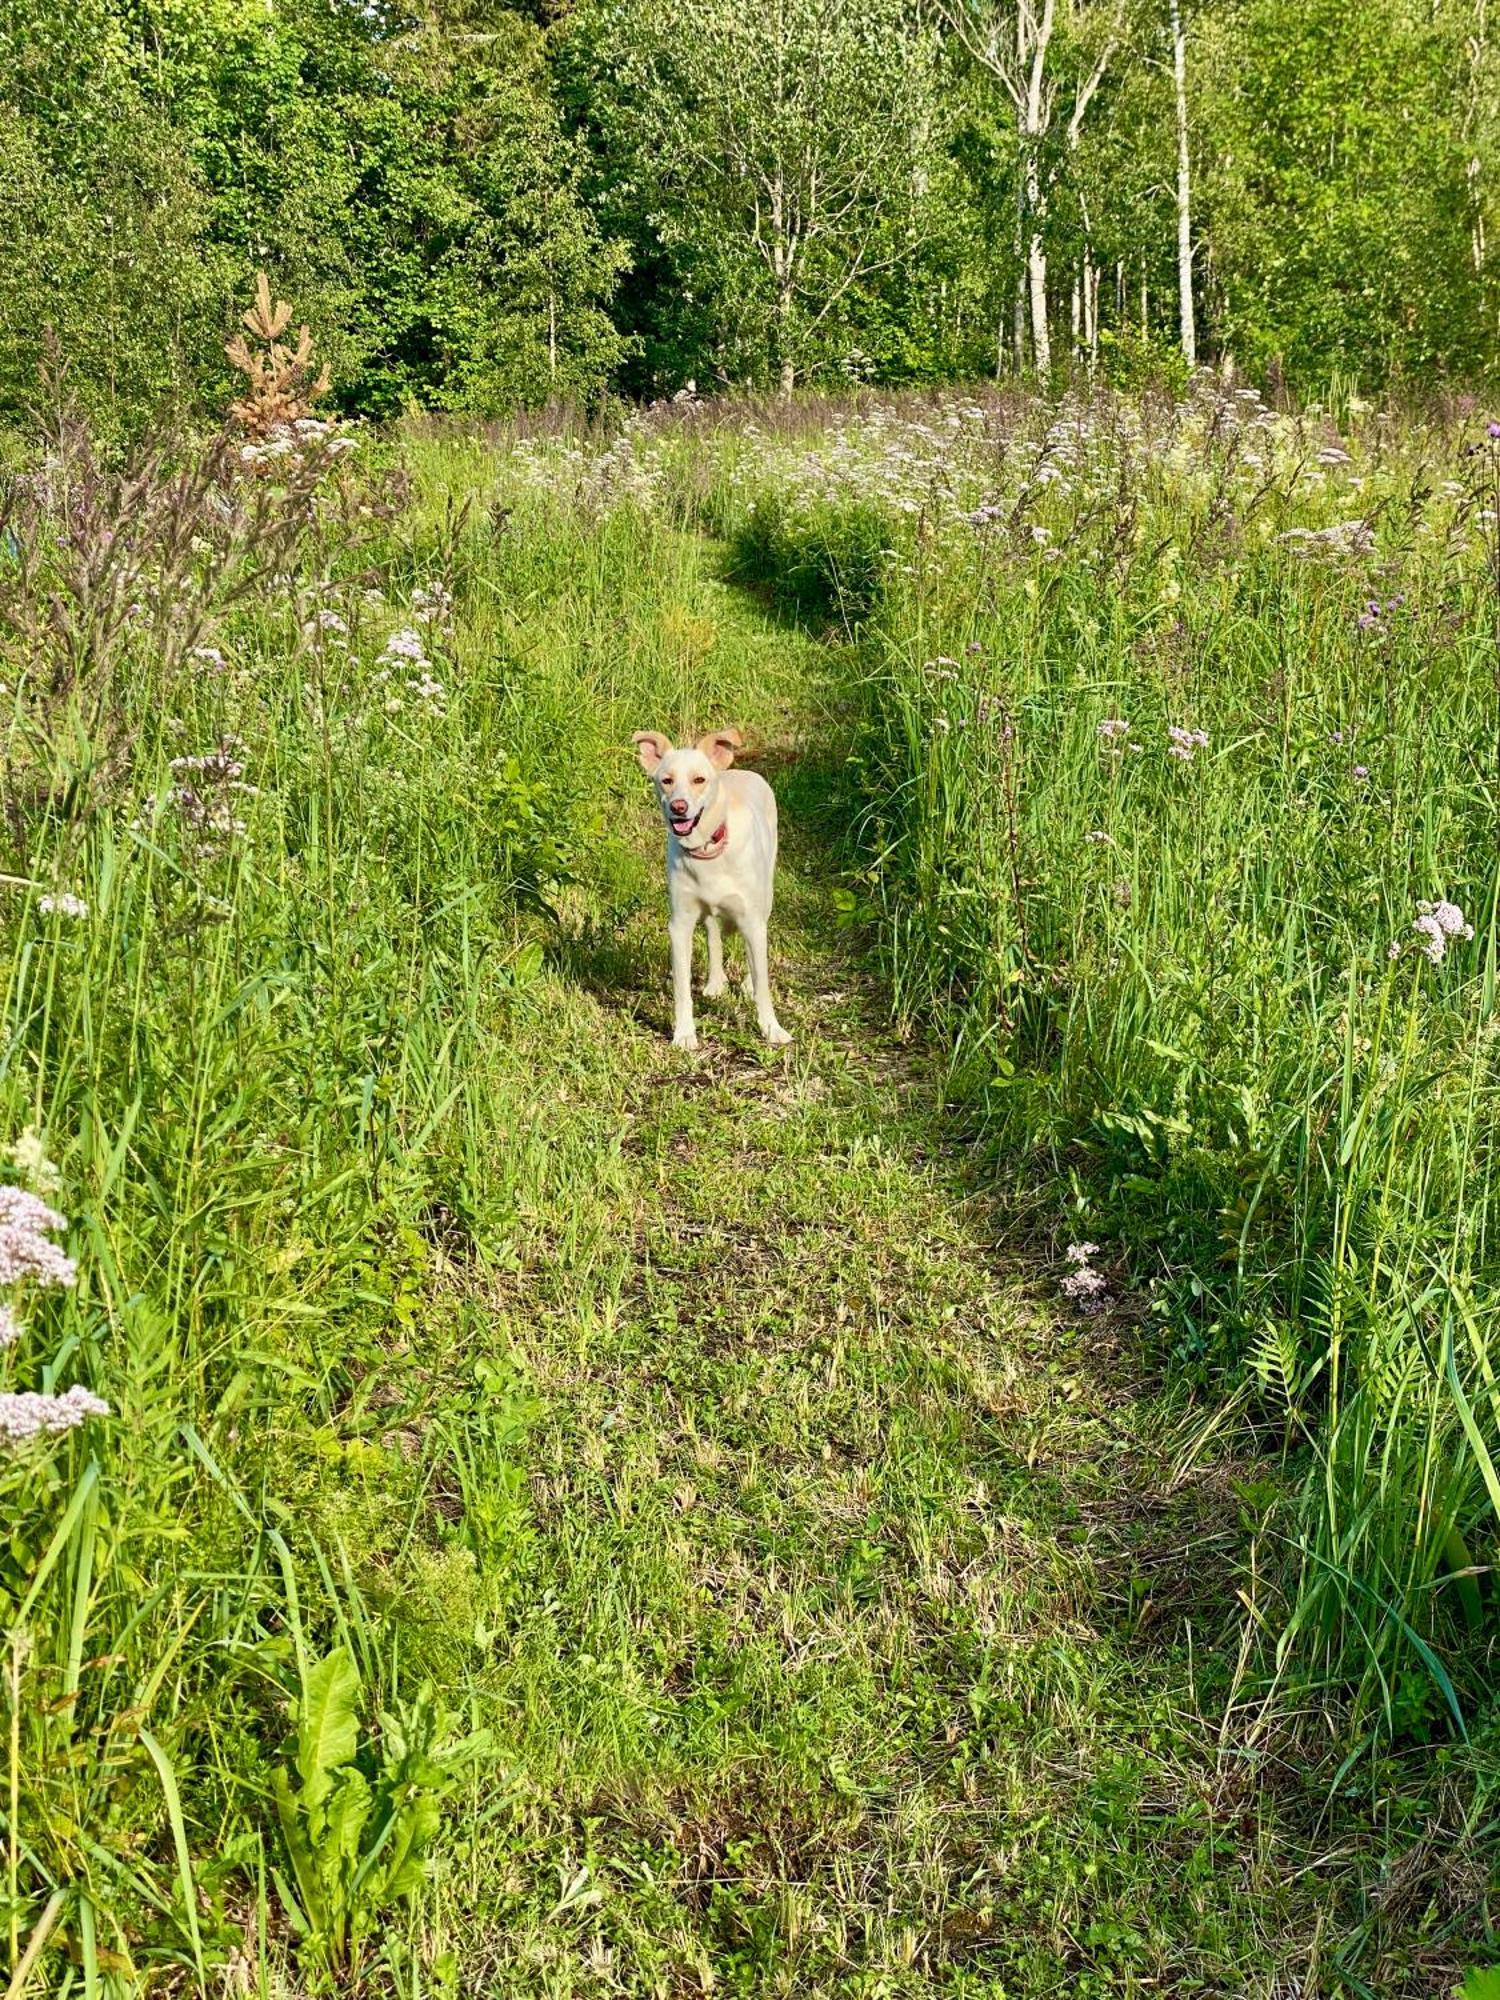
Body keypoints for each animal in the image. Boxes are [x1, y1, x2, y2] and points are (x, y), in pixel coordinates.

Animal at [636, 732, 800, 1048]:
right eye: (666, 780)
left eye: (699, 779)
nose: (678, 807)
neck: (706, 851)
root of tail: (742, 771)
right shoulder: (680, 924)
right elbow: (682, 988)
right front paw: (684, 1034)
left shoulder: (751, 920)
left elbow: (763, 984)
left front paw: (771, 1029)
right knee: (713, 935)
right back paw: (715, 983)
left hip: (765, 898)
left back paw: (746, 983)